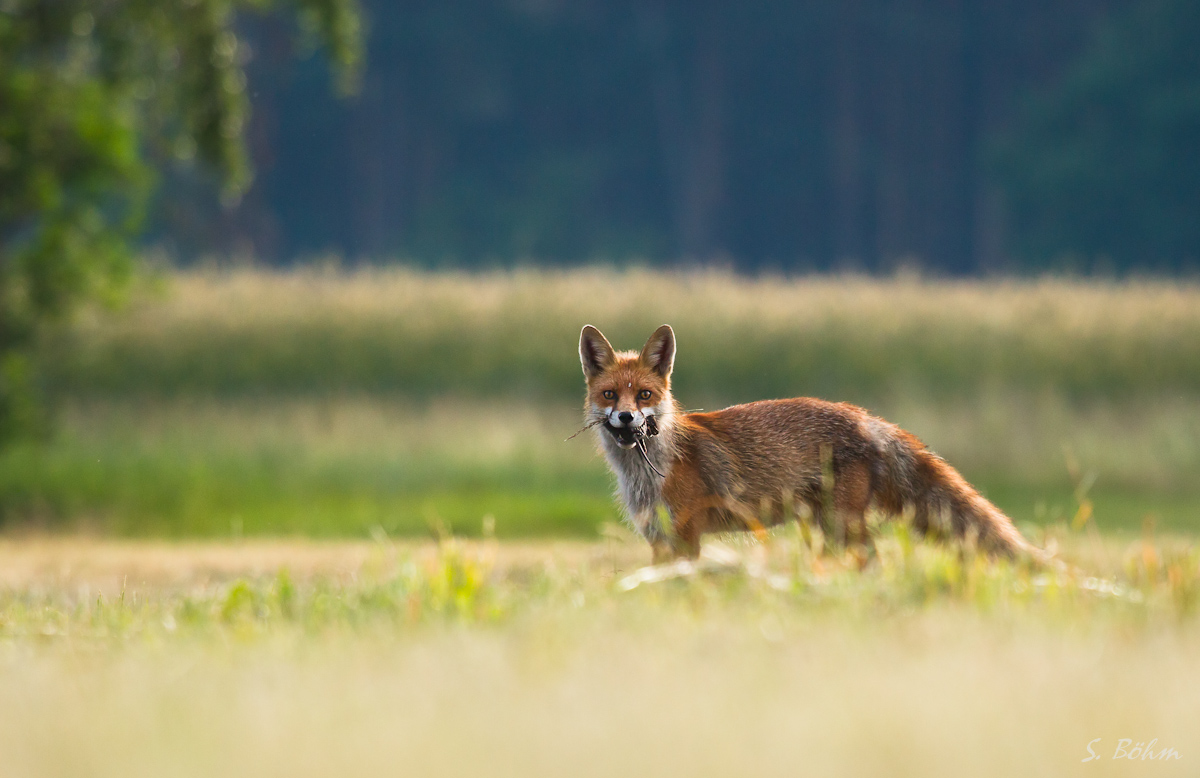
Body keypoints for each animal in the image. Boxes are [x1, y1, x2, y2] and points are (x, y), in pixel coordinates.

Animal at [578, 324, 1041, 561]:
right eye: (609, 395)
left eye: (644, 395)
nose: (626, 417)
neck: (648, 472)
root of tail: (865, 417)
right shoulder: (658, 539)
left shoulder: (687, 536)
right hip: (824, 528)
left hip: (841, 526)